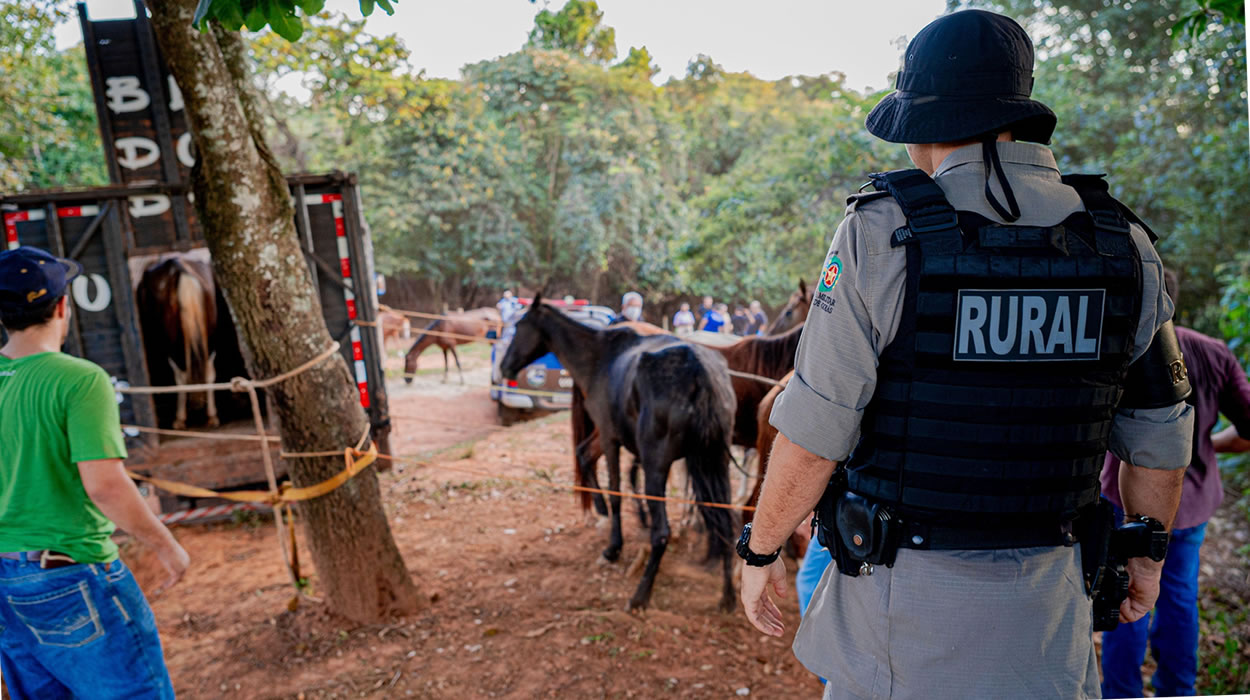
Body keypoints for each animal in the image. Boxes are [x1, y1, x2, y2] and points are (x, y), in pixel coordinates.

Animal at [497, 292, 735, 610]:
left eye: (520, 325)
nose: (504, 367)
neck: (599, 358)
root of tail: (698, 370)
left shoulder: (611, 439)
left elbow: (615, 491)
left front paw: (613, 546)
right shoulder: (608, 436)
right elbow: (584, 455)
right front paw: (601, 511)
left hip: (658, 467)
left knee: (662, 533)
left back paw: (641, 595)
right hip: (714, 461)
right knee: (727, 525)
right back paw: (729, 596)